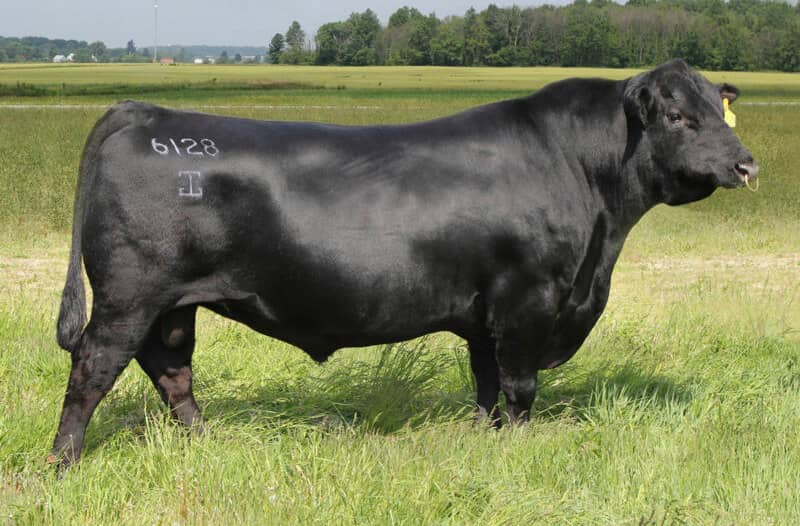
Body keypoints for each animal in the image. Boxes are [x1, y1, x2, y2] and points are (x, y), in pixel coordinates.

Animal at [50, 59, 758, 467]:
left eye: (719, 110)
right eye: (677, 115)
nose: (746, 164)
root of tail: (145, 110)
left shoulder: (485, 314)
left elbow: (486, 384)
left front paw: (483, 438)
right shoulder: (526, 301)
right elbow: (521, 386)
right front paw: (518, 447)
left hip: (173, 303)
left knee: (171, 370)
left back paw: (207, 447)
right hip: (131, 294)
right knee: (93, 368)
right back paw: (62, 464)